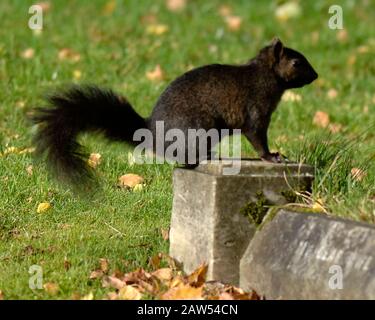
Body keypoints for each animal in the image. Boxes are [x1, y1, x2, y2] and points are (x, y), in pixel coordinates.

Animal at [33, 38, 318, 182]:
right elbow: (257, 136)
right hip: (199, 129)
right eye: (296, 62)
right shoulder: (256, 109)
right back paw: (208, 156)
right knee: (187, 160)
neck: (264, 74)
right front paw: (272, 157)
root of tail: (151, 134)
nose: (316, 75)